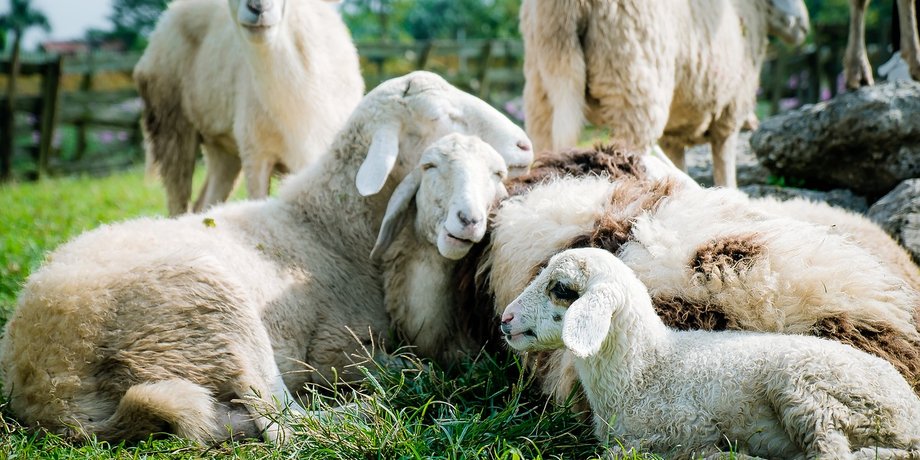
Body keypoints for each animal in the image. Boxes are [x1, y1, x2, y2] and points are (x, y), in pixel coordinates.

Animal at [0, 71, 534, 444]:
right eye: (445, 117)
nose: (526, 144)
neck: (325, 224)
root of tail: (47, 390)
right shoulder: (335, 348)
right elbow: (413, 367)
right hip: (213, 309)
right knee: (284, 424)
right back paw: (369, 414)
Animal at [134, 0, 364, 216]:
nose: (258, 7)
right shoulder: (256, 153)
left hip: (223, 149)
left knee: (205, 203)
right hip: (171, 124)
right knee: (178, 204)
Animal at [501, 247, 920, 459]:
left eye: (561, 288)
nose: (505, 319)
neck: (646, 368)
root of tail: (910, 412)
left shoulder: (687, 428)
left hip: (812, 393)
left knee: (834, 452)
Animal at [519, 0, 809, 187]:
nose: (804, 26)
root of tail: (565, 8)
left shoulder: (675, 132)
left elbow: (680, 162)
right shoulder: (731, 109)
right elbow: (725, 166)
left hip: (544, 80)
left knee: (545, 139)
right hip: (634, 79)